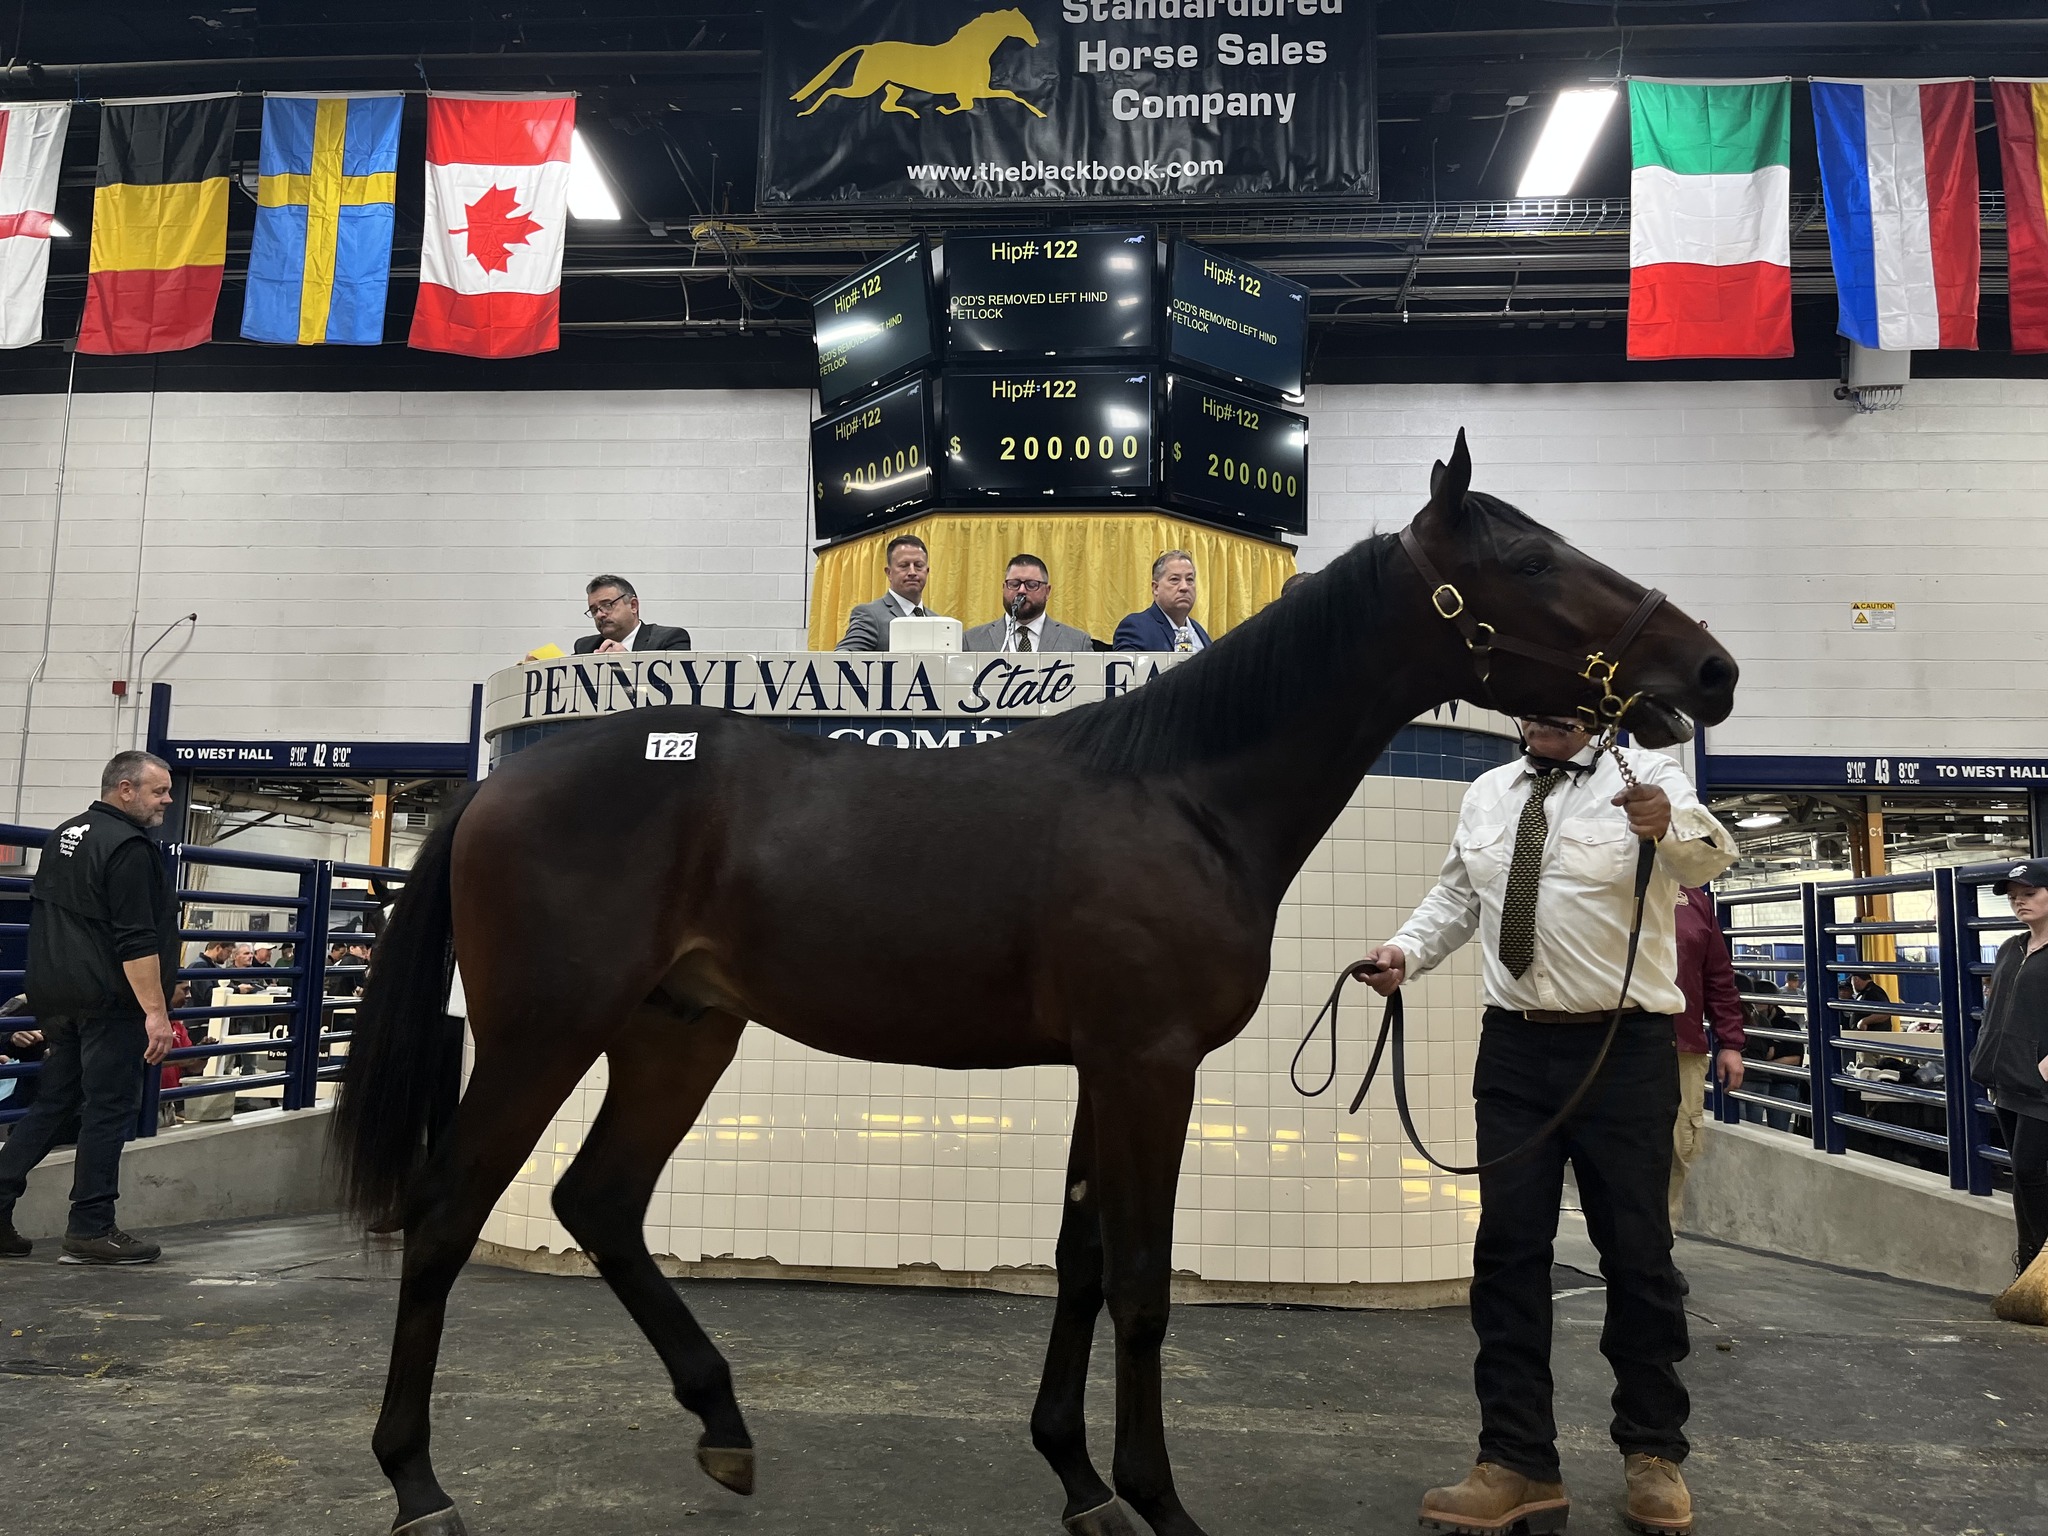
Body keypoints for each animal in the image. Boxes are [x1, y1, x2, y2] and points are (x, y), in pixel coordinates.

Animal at [334, 431, 1737, 1536]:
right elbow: (1142, 1282)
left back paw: (722, 1426)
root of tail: (502, 784)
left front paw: (1077, 1480)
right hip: (543, 1034)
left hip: (679, 1035)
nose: (1706, 669)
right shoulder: (1149, 1066)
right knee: (449, 1212)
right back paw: (418, 1484)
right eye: (1530, 562)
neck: (1182, 792)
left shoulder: (1098, 1070)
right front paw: (1159, 1499)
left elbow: (1077, 1259)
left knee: (601, 1200)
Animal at [790, 8, 1047, 120]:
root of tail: (869, 47)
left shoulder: (979, 91)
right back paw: (806, 112)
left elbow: (1010, 95)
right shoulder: (973, 91)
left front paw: (1040, 113)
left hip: (894, 87)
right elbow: (997, 98)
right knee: (832, 91)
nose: (1035, 41)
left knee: (886, 106)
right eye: (1022, 24)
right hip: (865, 86)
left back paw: (913, 114)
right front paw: (943, 109)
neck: (973, 51)